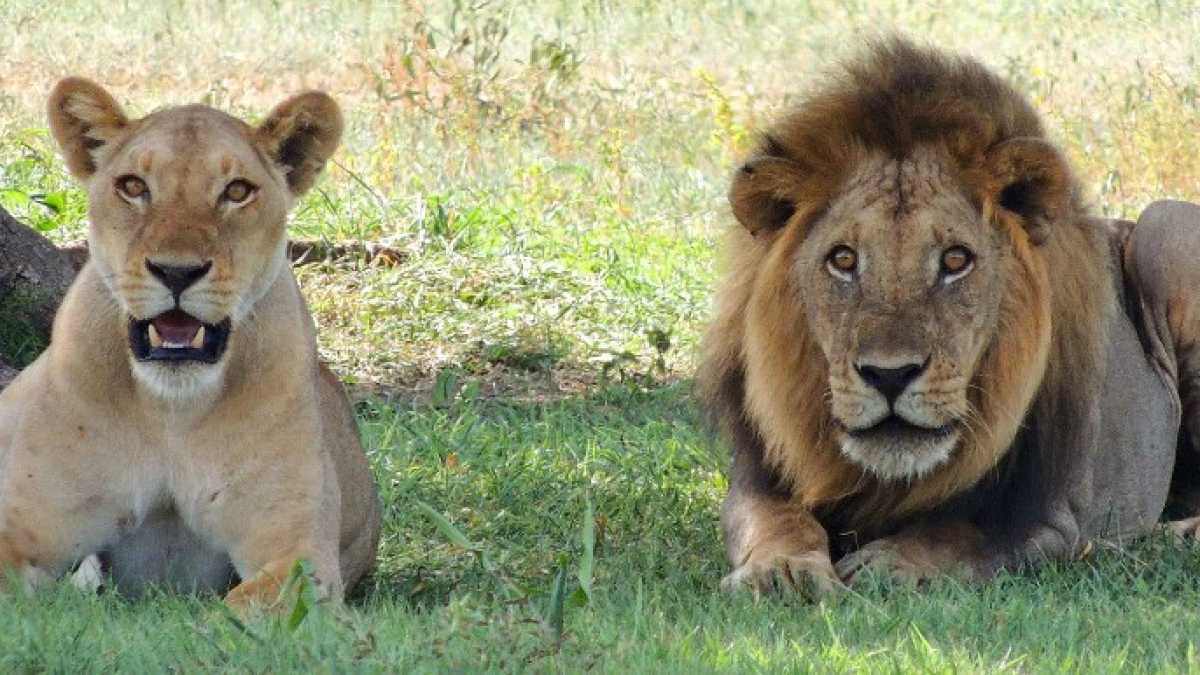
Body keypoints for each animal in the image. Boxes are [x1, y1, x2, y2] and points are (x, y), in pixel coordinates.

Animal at [0, 78, 382, 610]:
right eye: (133, 186)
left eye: (237, 191)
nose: (176, 272)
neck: (170, 412)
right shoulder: (24, 534)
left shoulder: (299, 556)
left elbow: (236, 611)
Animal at [700, 38, 1200, 595]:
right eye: (843, 260)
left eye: (956, 261)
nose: (889, 375)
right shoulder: (756, 479)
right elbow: (776, 521)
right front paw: (782, 571)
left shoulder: (1054, 516)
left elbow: (958, 533)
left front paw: (889, 565)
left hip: (1163, 228)